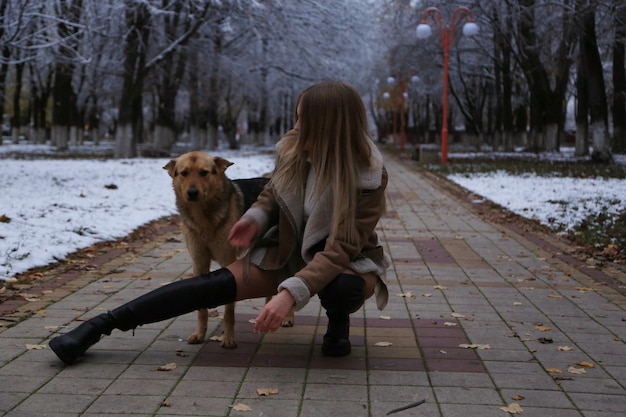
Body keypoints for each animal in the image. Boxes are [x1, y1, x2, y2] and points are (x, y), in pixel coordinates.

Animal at [162, 151, 292, 346]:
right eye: (184, 173)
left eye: (204, 173)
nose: (192, 193)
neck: (204, 218)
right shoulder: (199, 262)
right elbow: (201, 309)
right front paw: (200, 334)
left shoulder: (227, 260)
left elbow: (229, 311)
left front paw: (229, 338)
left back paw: (288, 317)